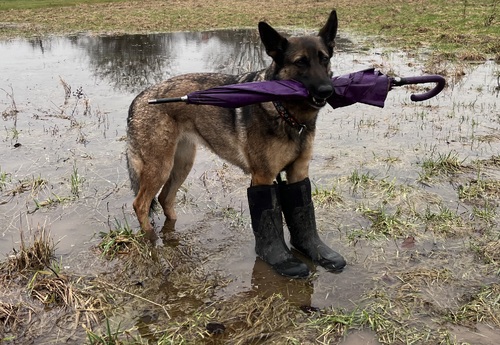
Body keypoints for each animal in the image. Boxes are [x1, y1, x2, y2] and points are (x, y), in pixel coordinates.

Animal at [128, 10, 348, 278]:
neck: (285, 111)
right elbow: (267, 217)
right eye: (300, 62)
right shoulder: (263, 176)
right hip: (160, 167)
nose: (327, 91)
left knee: (164, 199)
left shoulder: (298, 172)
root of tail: (140, 98)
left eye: (324, 59)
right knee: (141, 204)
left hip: (181, 165)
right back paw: (151, 239)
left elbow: (302, 211)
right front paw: (280, 259)